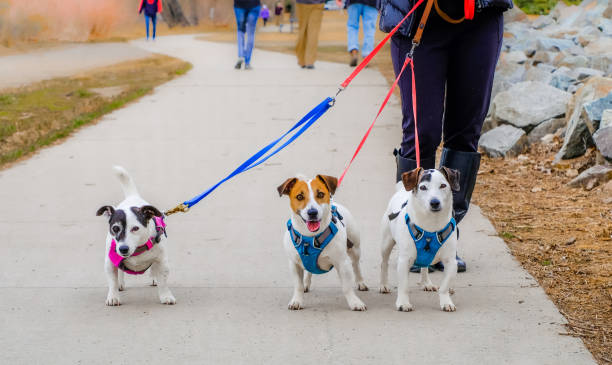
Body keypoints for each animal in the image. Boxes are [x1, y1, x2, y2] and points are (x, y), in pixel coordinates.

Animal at [95, 166, 176, 306]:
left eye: (135, 228)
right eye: (115, 228)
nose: (123, 249)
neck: (137, 249)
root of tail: (132, 197)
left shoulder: (162, 261)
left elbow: (163, 282)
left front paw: (166, 296)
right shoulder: (110, 262)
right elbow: (112, 281)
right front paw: (113, 296)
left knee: (154, 269)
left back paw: (154, 278)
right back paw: (120, 283)